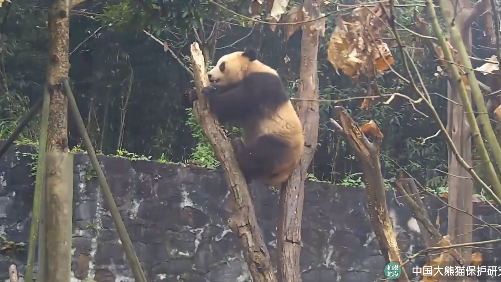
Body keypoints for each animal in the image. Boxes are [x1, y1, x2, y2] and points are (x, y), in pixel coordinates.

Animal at [188, 48, 302, 187]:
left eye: (222, 65)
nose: (209, 75)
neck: (250, 68)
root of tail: (285, 173)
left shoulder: (261, 83)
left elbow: (236, 102)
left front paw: (209, 93)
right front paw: (191, 94)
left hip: (283, 142)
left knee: (264, 153)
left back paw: (239, 149)